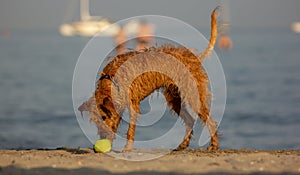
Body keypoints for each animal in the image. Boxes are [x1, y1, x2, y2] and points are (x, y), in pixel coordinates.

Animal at [79, 7, 220, 151]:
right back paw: (183, 145)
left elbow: (130, 130)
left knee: (211, 121)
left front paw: (127, 148)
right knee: (190, 120)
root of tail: (193, 58)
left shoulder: (133, 104)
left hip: (193, 95)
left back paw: (213, 145)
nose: (102, 139)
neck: (113, 80)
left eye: (104, 117)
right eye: (95, 121)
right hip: (173, 99)